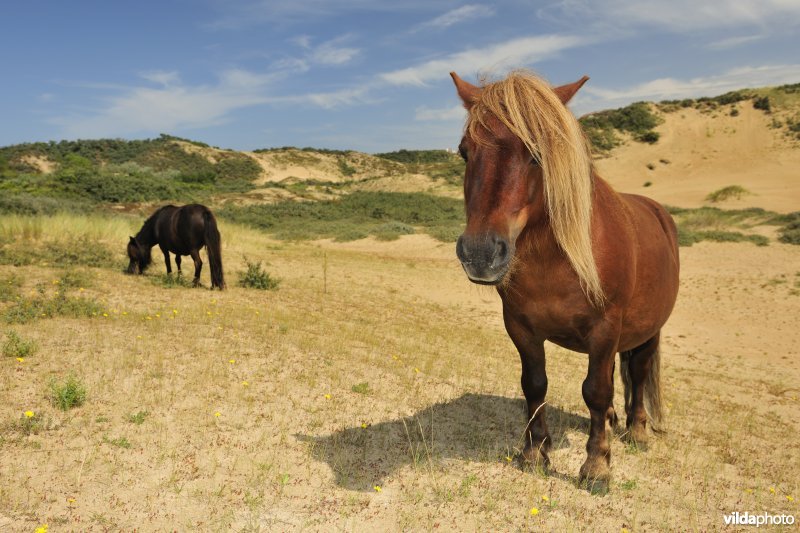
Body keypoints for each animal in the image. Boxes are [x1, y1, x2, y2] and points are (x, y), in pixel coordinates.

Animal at [450, 70, 679, 491]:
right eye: (464, 151)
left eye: (537, 153)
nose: (480, 253)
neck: (556, 261)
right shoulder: (520, 326)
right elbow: (535, 384)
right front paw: (534, 453)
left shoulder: (605, 328)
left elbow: (596, 390)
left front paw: (597, 465)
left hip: (647, 332)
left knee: (638, 376)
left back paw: (637, 431)